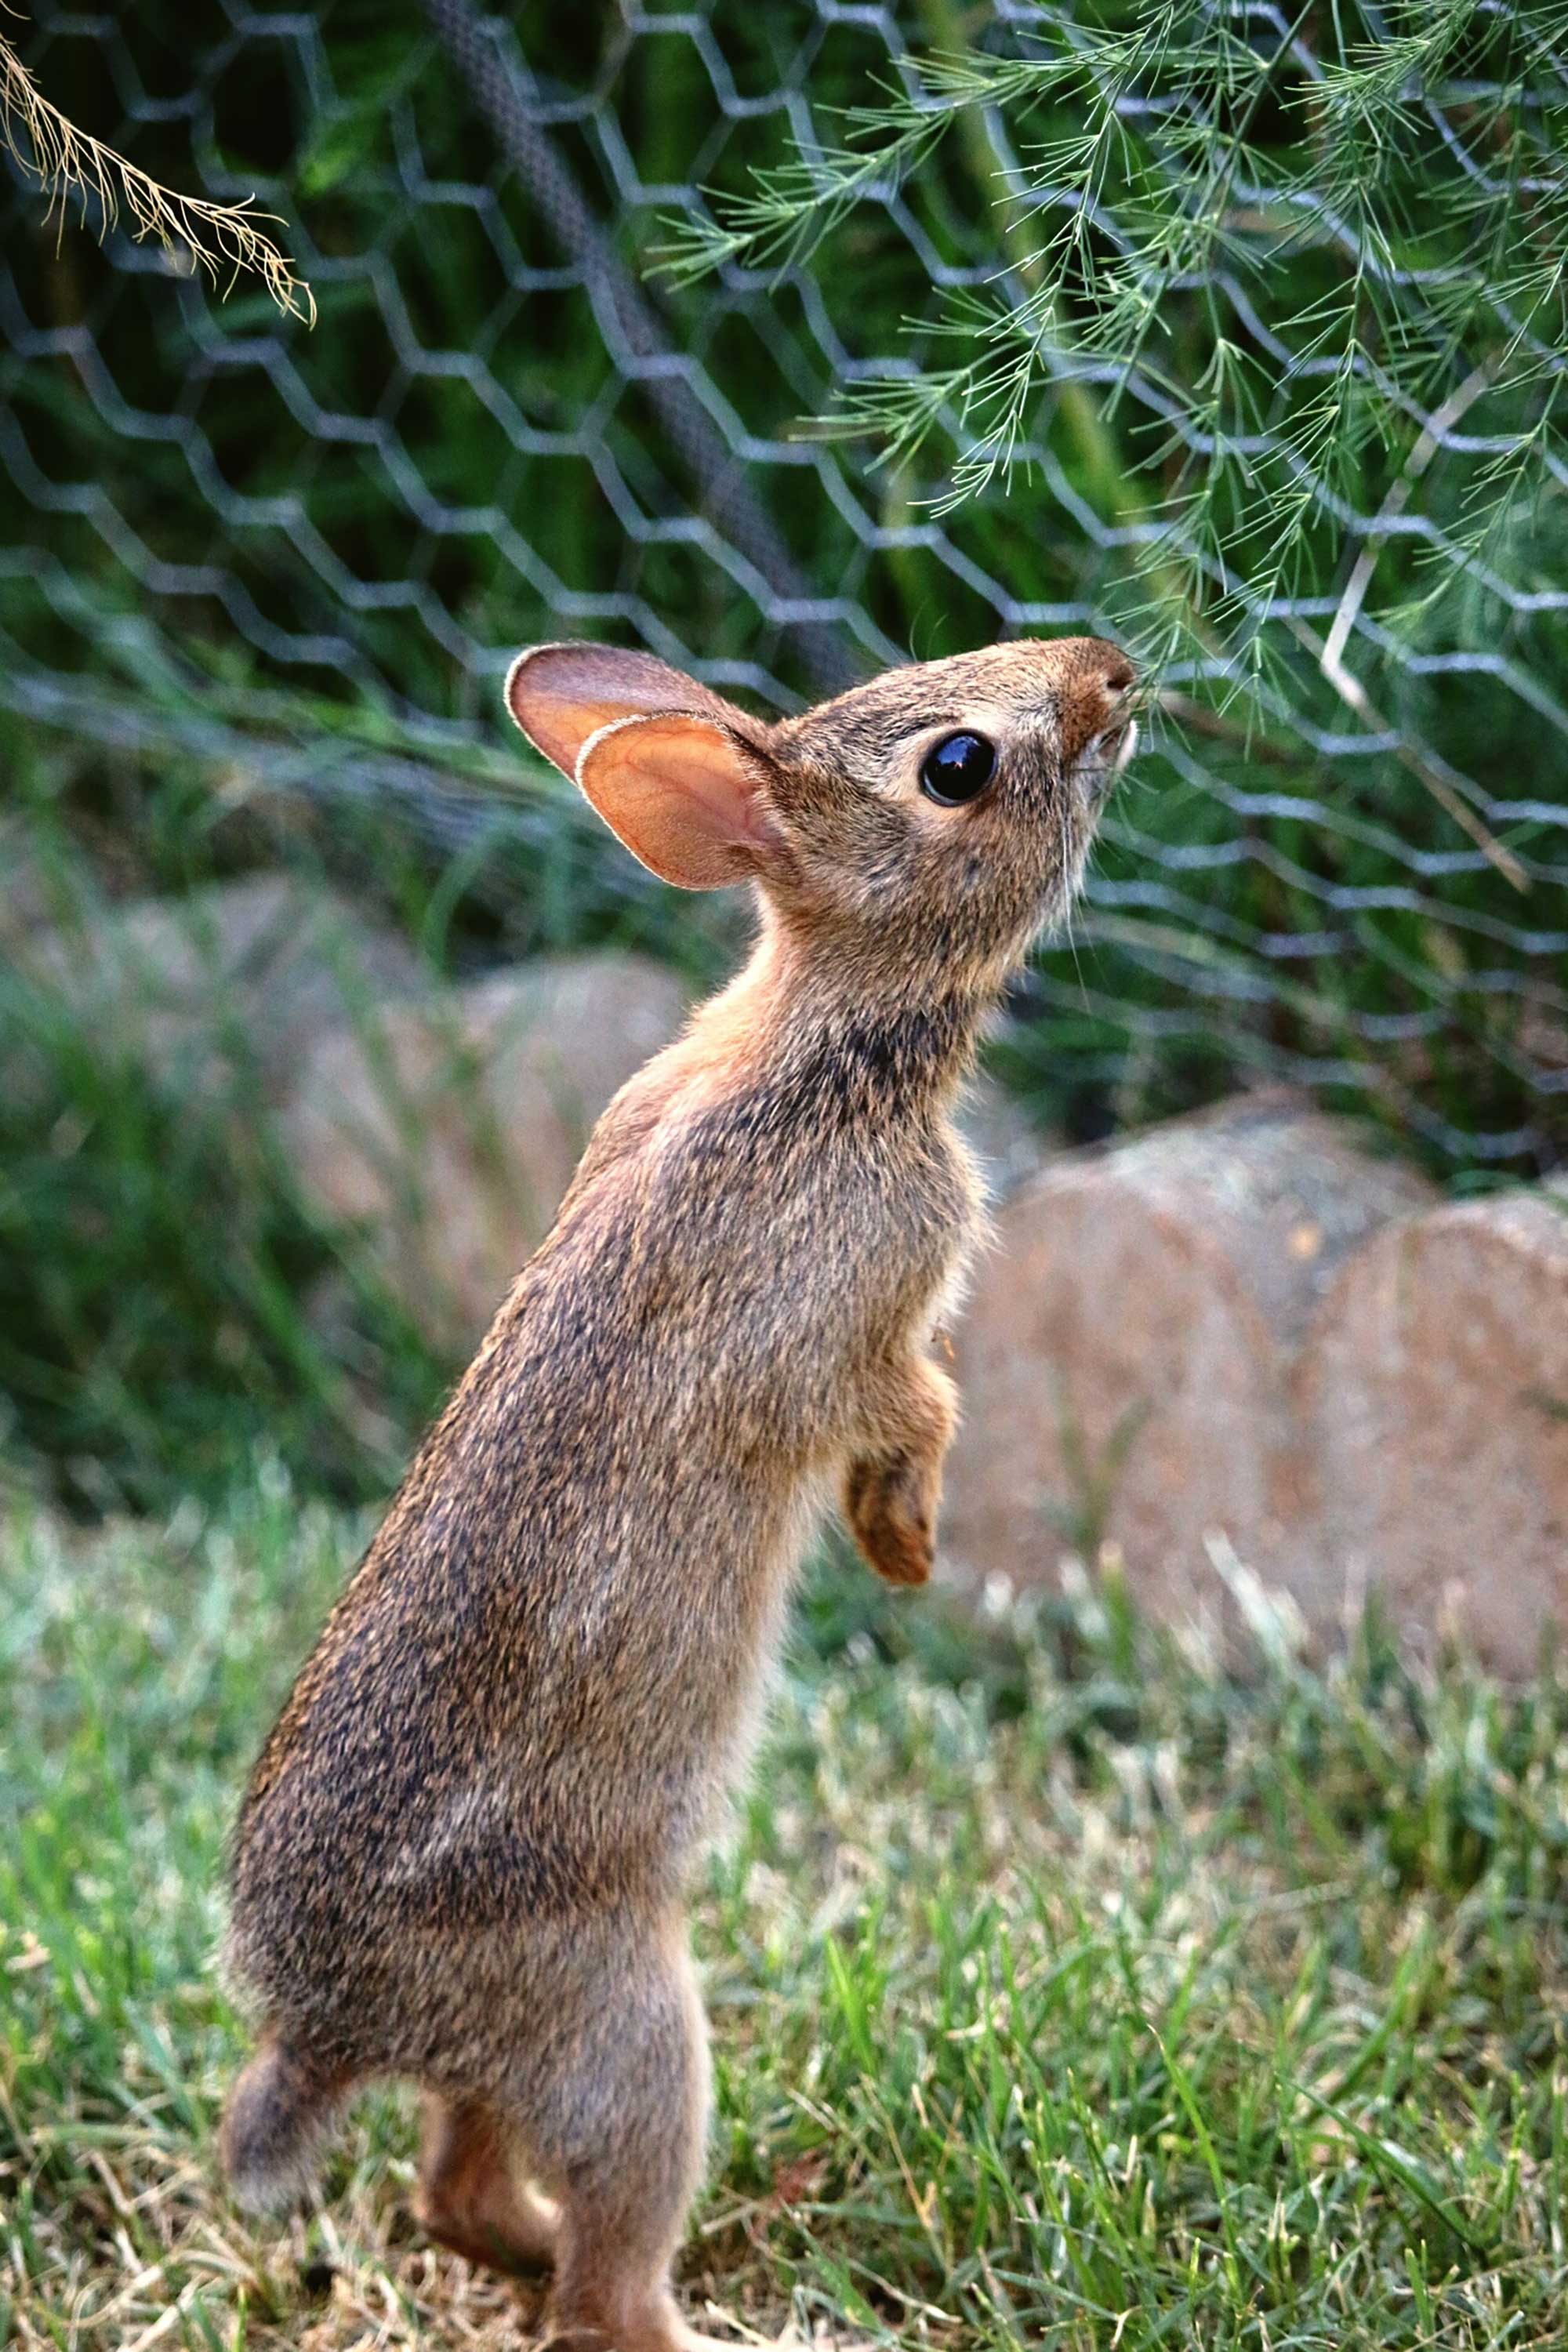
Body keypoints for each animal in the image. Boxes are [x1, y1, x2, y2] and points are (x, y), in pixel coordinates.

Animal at [220, 630, 1133, 2352]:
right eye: (957, 765)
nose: (1109, 677)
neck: (823, 1045)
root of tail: (328, 2031)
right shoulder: (855, 1329)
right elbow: (913, 1408)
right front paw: (909, 1551)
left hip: (526, 2060)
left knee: (454, 2190)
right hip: (631, 2029)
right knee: (602, 2274)